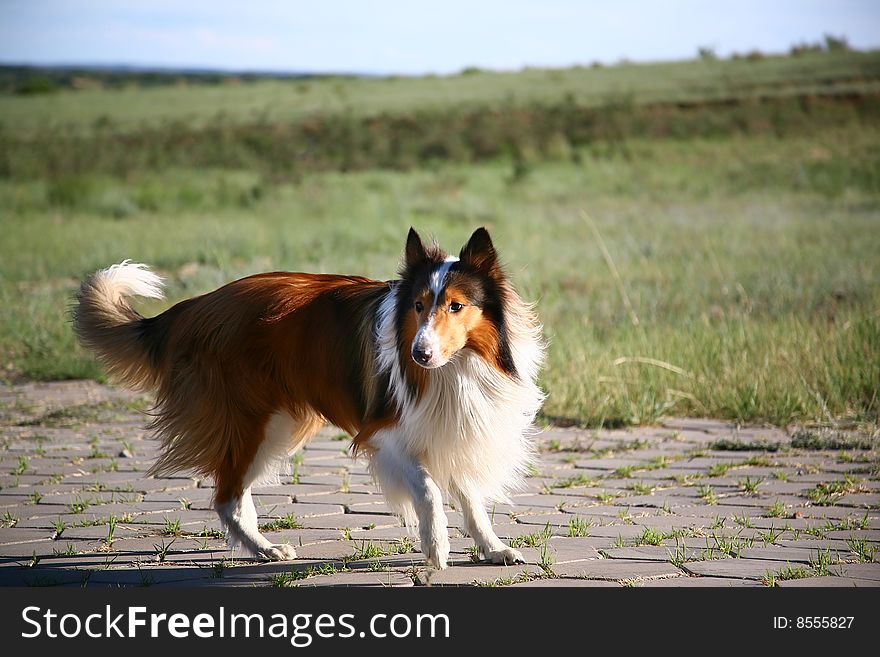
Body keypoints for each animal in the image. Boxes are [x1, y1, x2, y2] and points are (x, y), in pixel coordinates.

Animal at [74, 228, 544, 568]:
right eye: (418, 304)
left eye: (456, 306)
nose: (419, 353)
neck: (453, 368)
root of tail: (192, 307)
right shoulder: (386, 433)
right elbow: (428, 489)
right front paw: (437, 546)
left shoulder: (458, 428)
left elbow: (471, 498)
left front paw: (493, 548)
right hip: (258, 420)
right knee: (226, 494)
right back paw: (263, 549)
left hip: (276, 421)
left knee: (235, 489)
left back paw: (262, 547)